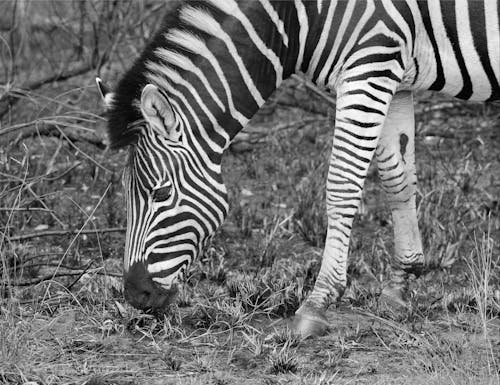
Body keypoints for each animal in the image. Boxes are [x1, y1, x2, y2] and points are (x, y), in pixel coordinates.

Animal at [95, 0, 498, 334]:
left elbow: (342, 185)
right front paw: (401, 283)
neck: (300, 16)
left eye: (161, 193)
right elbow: (396, 179)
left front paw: (317, 304)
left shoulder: (368, 69)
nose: (135, 294)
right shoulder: (394, 79)